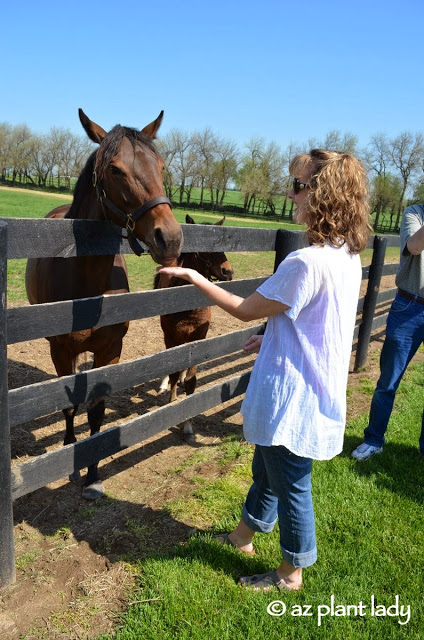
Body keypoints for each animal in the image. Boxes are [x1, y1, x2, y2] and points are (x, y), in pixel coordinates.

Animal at [25, 109, 184, 500]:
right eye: (115, 169)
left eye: (161, 165)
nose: (170, 238)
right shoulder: (60, 350)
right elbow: (68, 404)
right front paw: (70, 453)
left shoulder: (111, 349)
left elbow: (96, 411)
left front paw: (93, 473)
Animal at [154, 215, 234, 444]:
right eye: (204, 246)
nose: (227, 271)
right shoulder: (171, 336)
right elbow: (172, 369)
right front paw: (172, 402)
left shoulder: (198, 338)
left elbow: (191, 380)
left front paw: (188, 426)